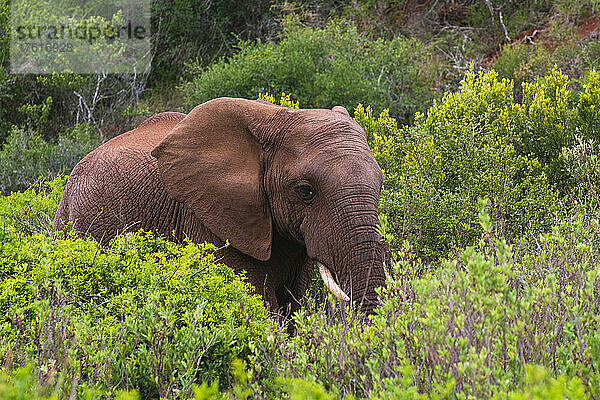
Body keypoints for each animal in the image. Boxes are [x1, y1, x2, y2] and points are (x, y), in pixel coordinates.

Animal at [54, 97, 386, 316]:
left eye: (379, 184)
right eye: (306, 192)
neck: (277, 117)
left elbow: (292, 305)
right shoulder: (210, 217)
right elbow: (260, 303)